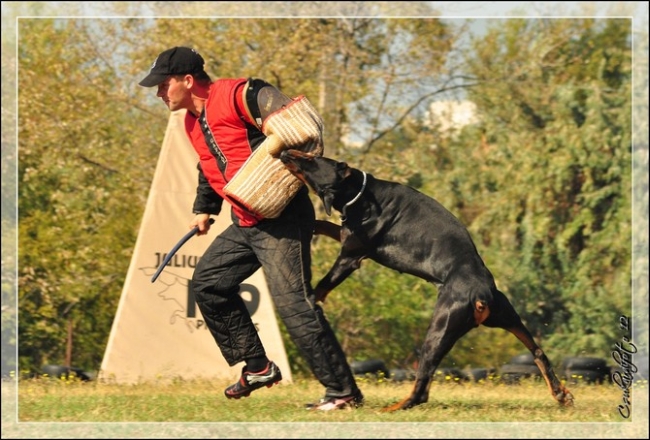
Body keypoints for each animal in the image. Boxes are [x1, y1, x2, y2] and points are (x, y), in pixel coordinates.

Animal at [279, 149, 574, 411]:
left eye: (310, 159)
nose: (285, 152)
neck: (359, 192)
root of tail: (482, 294)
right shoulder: (348, 235)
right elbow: (323, 224)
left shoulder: (351, 253)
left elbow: (323, 285)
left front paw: (311, 298)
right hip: (506, 316)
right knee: (537, 352)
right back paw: (561, 394)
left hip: (440, 328)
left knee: (421, 388)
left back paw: (392, 408)